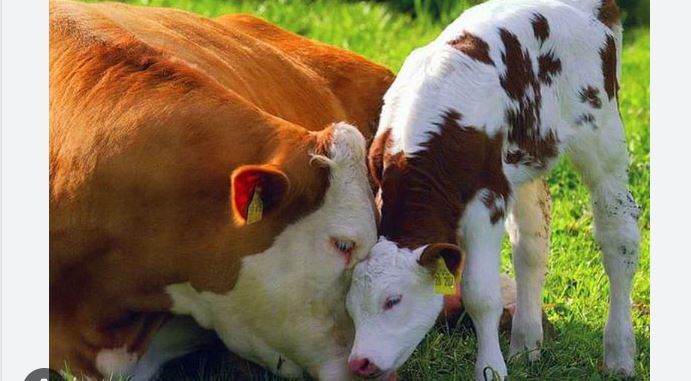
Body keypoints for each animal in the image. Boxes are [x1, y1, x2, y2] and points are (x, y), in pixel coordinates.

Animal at [348, 1, 640, 378]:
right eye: (350, 306)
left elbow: (480, 294)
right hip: (526, 157)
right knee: (532, 243)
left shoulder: (486, 200)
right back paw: (526, 345)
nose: (360, 362)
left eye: (392, 300)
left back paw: (619, 355)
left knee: (619, 235)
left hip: (601, 134)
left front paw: (490, 369)